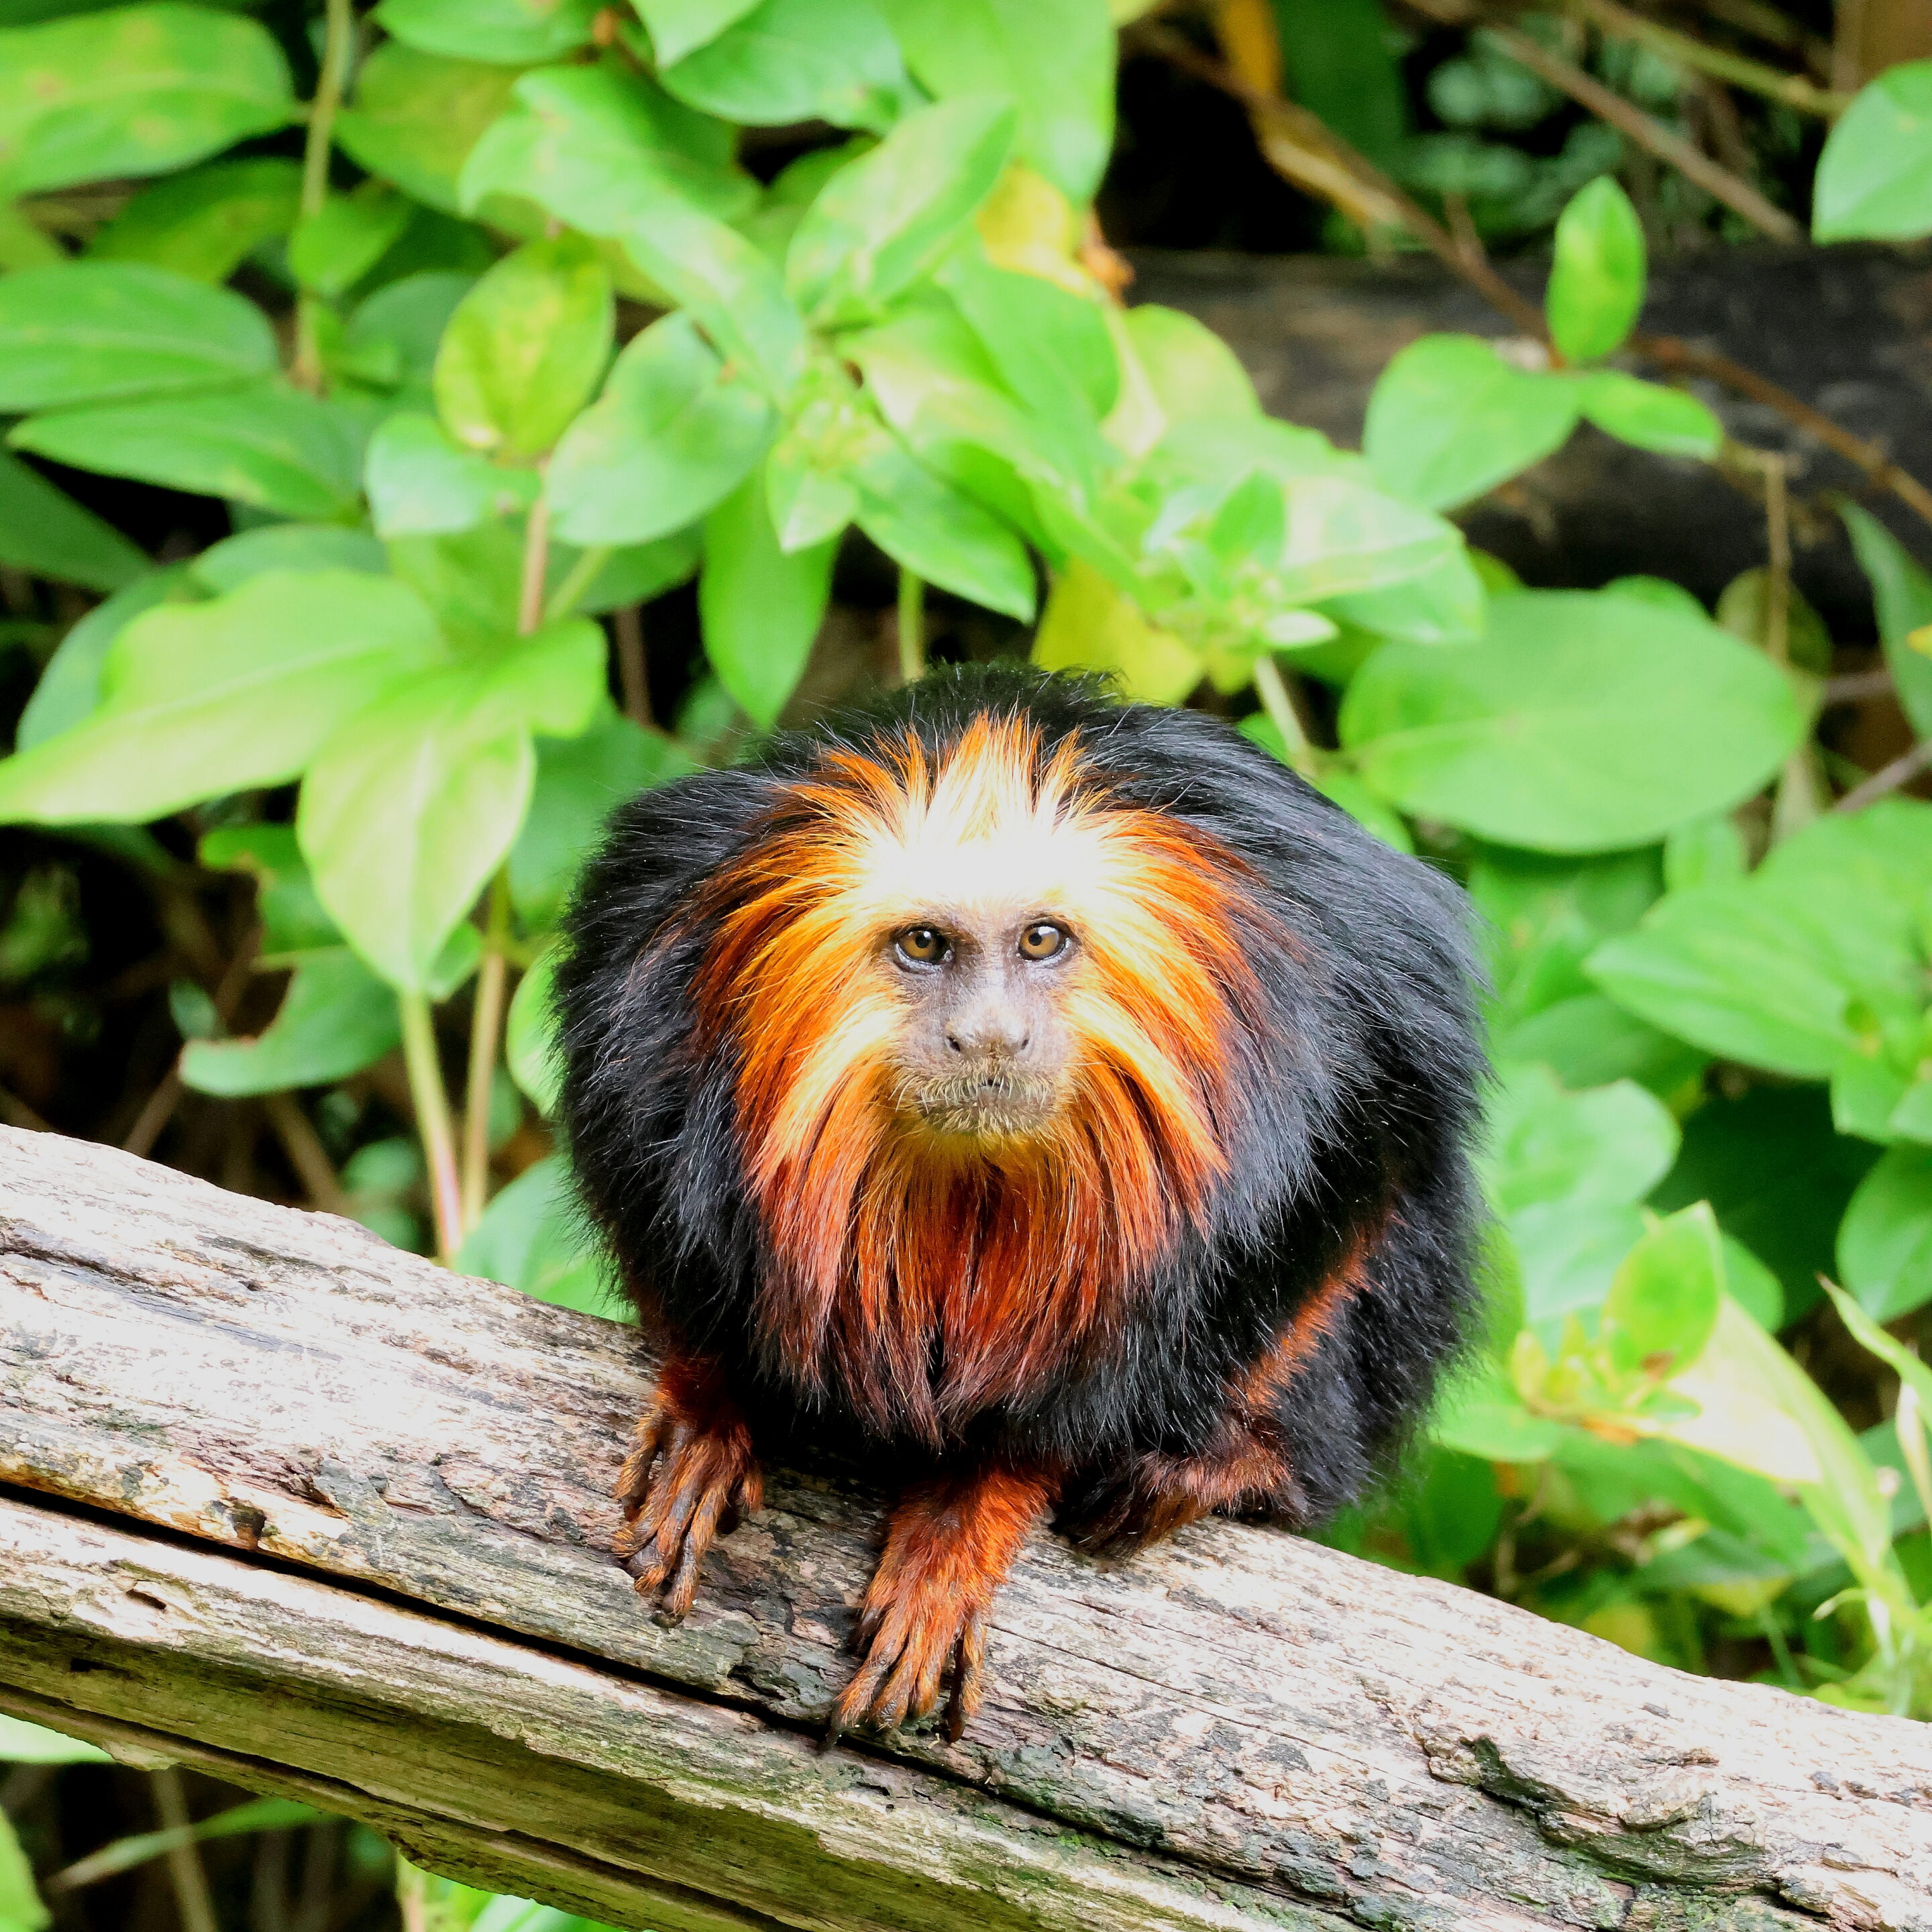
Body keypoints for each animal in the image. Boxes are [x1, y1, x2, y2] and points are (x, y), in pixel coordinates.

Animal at [556, 664, 1484, 1742]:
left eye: (1042, 941)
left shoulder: (1343, 1014)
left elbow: (1337, 1194)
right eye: (925, 945)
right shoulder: (646, 987)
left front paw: (982, 1502)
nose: (991, 1037)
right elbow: (669, 1217)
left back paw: (1244, 1465)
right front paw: (713, 1402)